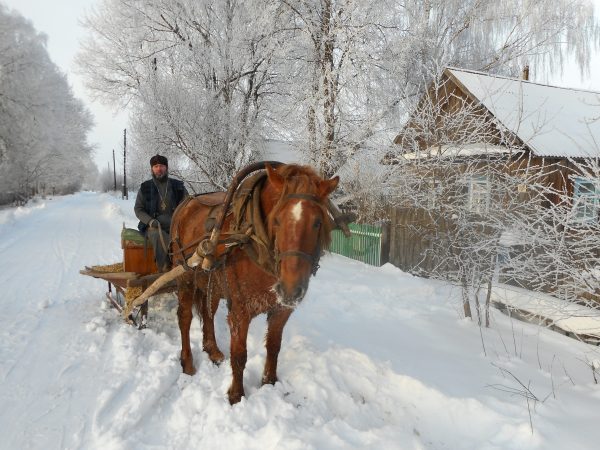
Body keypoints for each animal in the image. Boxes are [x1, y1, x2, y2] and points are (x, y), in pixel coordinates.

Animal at [169, 163, 340, 404]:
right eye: (277, 219)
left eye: (317, 222)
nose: (290, 290)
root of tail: (186, 204)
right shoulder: (240, 312)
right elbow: (240, 355)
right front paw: (236, 396)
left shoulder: (281, 311)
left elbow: (274, 346)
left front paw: (269, 382)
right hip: (184, 277)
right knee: (184, 318)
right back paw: (187, 362)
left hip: (212, 283)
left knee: (208, 312)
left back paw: (213, 350)